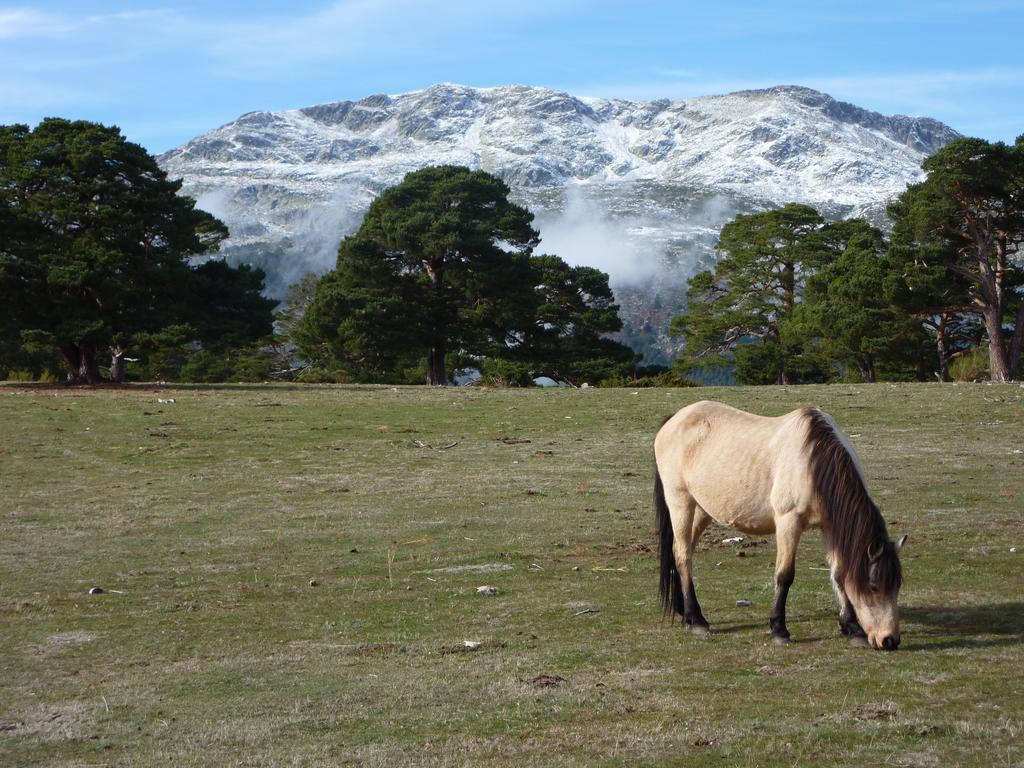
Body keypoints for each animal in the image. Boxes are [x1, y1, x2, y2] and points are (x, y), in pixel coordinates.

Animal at [651, 403, 909, 651]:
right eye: (874, 587)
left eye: (897, 585)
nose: (889, 640)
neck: (812, 462)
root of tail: (675, 419)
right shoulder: (788, 522)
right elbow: (785, 575)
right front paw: (779, 630)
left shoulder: (829, 527)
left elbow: (838, 574)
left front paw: (852, 629)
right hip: (681, 503)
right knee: (683, 555)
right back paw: (697, 620)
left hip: (702, 510)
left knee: (680, 552)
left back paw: (684, 612)